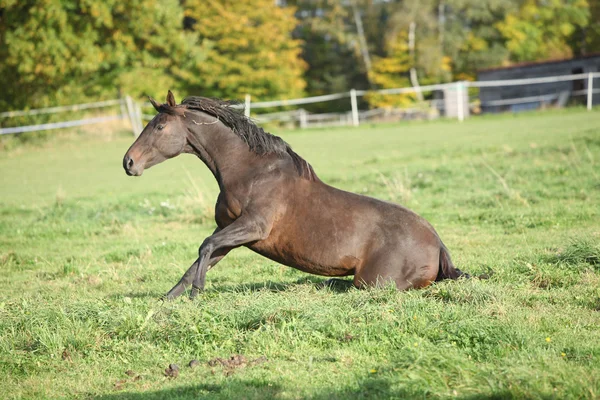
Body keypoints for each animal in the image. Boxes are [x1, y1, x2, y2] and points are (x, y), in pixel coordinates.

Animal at [123, 90, 468, 296]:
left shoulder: (253, 227)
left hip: (373, 282)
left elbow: (204, 246)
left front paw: (197, 291)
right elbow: (201, 257)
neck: (250, 171)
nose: (128, 163)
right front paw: (170, 299)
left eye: (159, 127)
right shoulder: (231, 231)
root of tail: (438, 245)